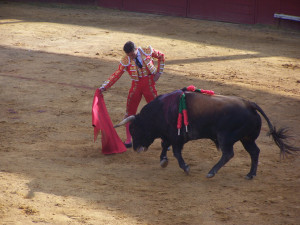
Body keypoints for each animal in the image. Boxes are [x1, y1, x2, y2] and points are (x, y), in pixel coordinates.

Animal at [114, 87, 298, 179]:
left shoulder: (176, 137)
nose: (135, 148)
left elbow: (175, 152)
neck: (160, 110)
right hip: (247, 138)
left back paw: (211, 172)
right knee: (254, 151)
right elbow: (164, 145)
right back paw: (250, 174)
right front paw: (163, 161)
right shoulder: (170, 136)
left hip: (225, 137)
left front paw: (185, 168)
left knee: (228, 154)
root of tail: (249, 104)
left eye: (134, 129)